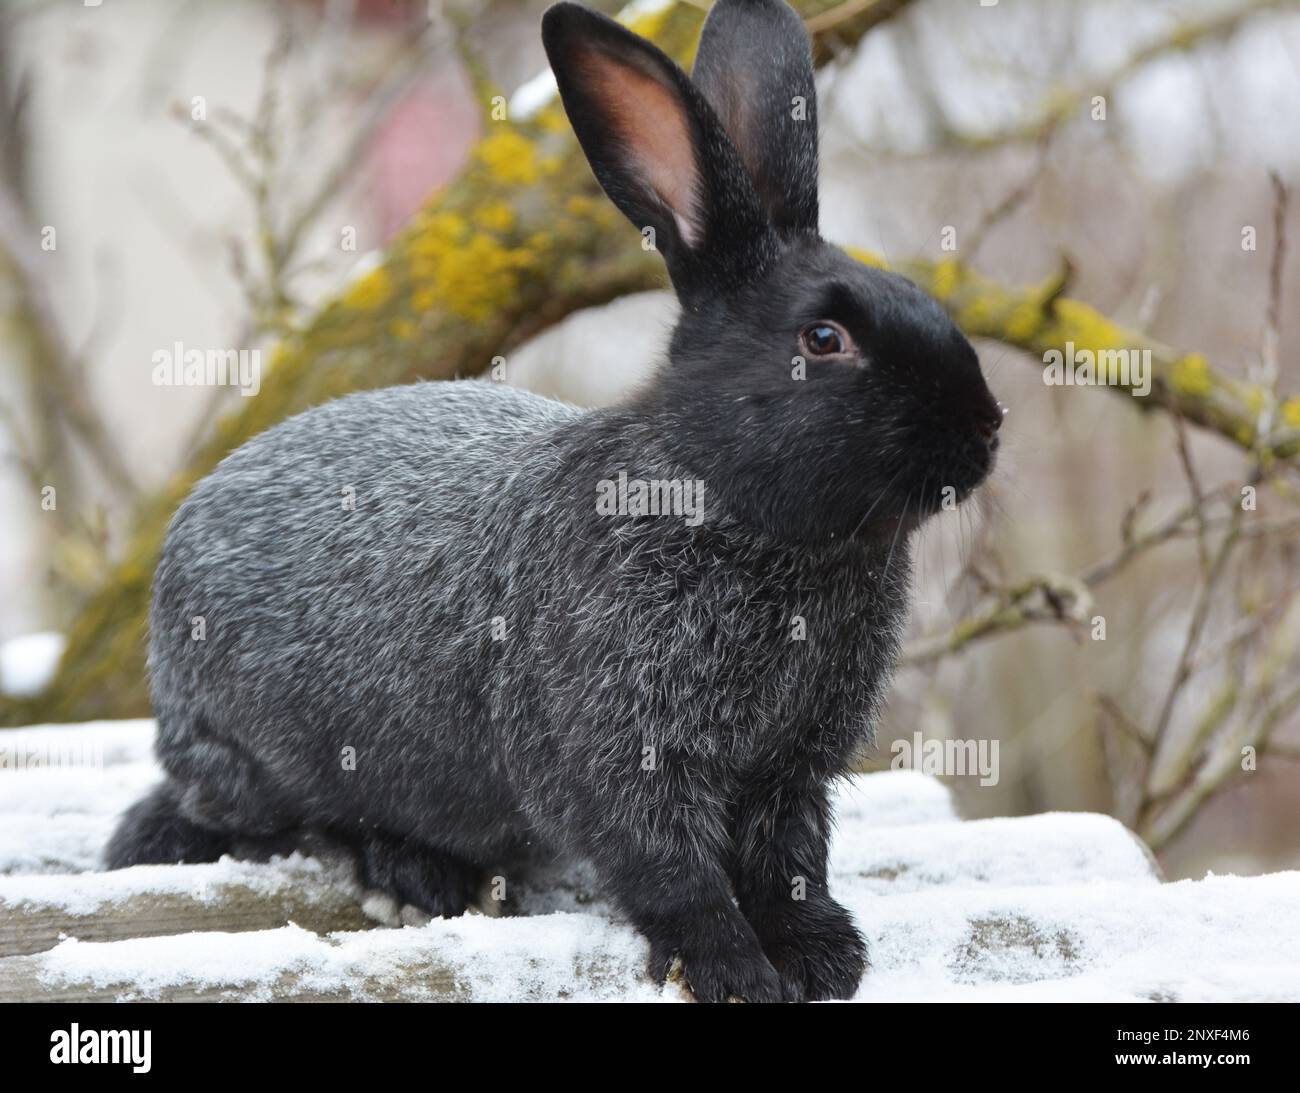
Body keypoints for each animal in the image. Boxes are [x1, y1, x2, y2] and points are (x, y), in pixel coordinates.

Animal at [106, 0, 1003, 1003]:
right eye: (824, 338)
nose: (984, 428)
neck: (728, 501)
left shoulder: (788, 772)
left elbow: (789, 860)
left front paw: (823, 954)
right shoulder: (624, 751)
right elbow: (673, 867)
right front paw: (734, 968)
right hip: (271, 753)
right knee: (286, 821)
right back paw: (407, 872)